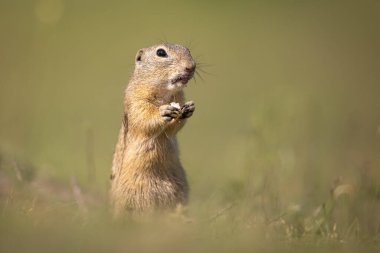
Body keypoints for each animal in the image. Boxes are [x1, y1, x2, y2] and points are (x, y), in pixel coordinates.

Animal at [110, 43, 197, 215]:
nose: (191, 66)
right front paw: (163, 112)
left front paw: (188, 110)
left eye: (188, 50)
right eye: (161, 52)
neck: (164, 94)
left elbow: (172, 129)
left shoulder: (179, 97)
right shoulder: (136, 100)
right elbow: (144, 116)